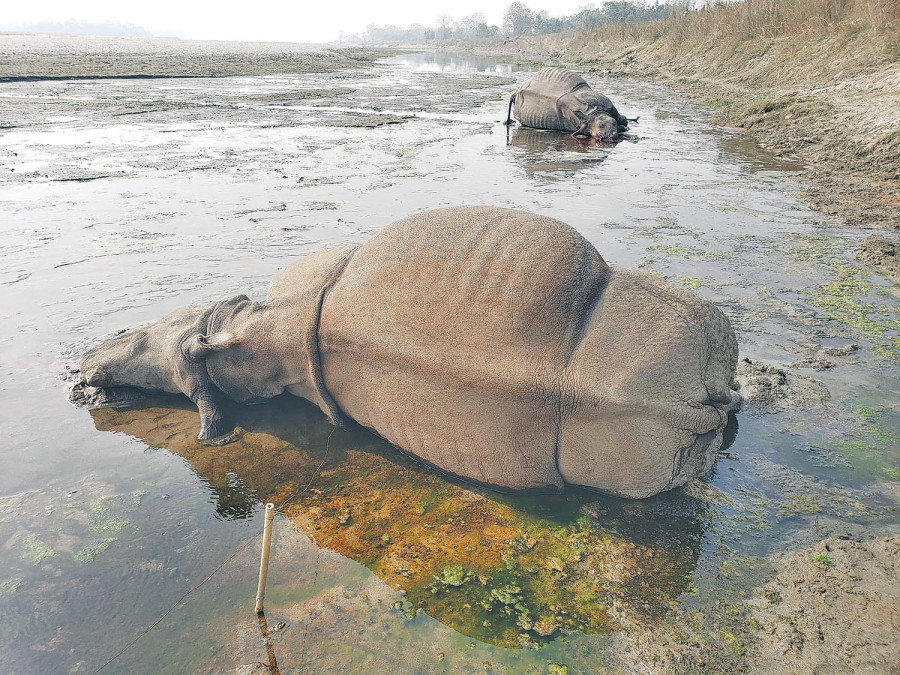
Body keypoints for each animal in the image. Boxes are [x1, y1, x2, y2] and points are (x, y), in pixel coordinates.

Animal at [506, 67, 634, 142]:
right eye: (601, 125)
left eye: (613, 123)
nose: (612, 135)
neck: (593, 113)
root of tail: (517, 91)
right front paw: (624, 127)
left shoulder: (607, 105)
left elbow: (621, 119)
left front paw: (623, 126)